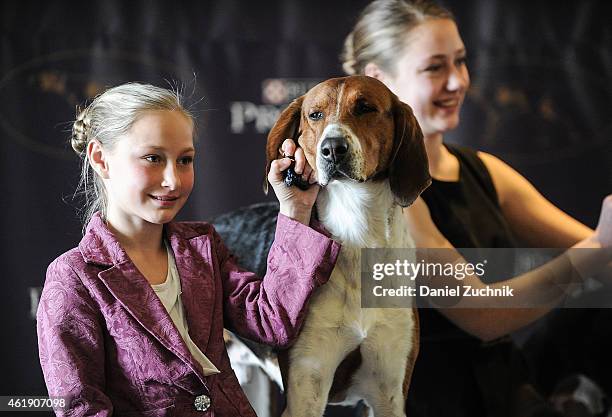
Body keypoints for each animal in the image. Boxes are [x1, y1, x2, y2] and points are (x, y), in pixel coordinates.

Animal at [262, 75, 430, 416]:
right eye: (314, 115)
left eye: (365, 108)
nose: (332, 149)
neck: (358, 227)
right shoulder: (306, 389)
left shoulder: (389, 394)